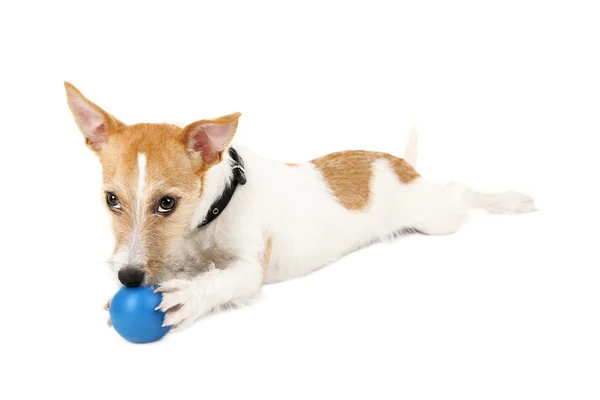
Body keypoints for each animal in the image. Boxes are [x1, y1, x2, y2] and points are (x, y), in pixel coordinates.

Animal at [63, 82, 536, 332]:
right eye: (111, 199)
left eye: (167, 203)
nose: (127, 277)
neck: (215, 208)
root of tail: (397, 162)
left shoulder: (249, 266)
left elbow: (224, 279)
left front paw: (190, 297)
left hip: (438, 216)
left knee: (463, 191)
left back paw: (510, 200)